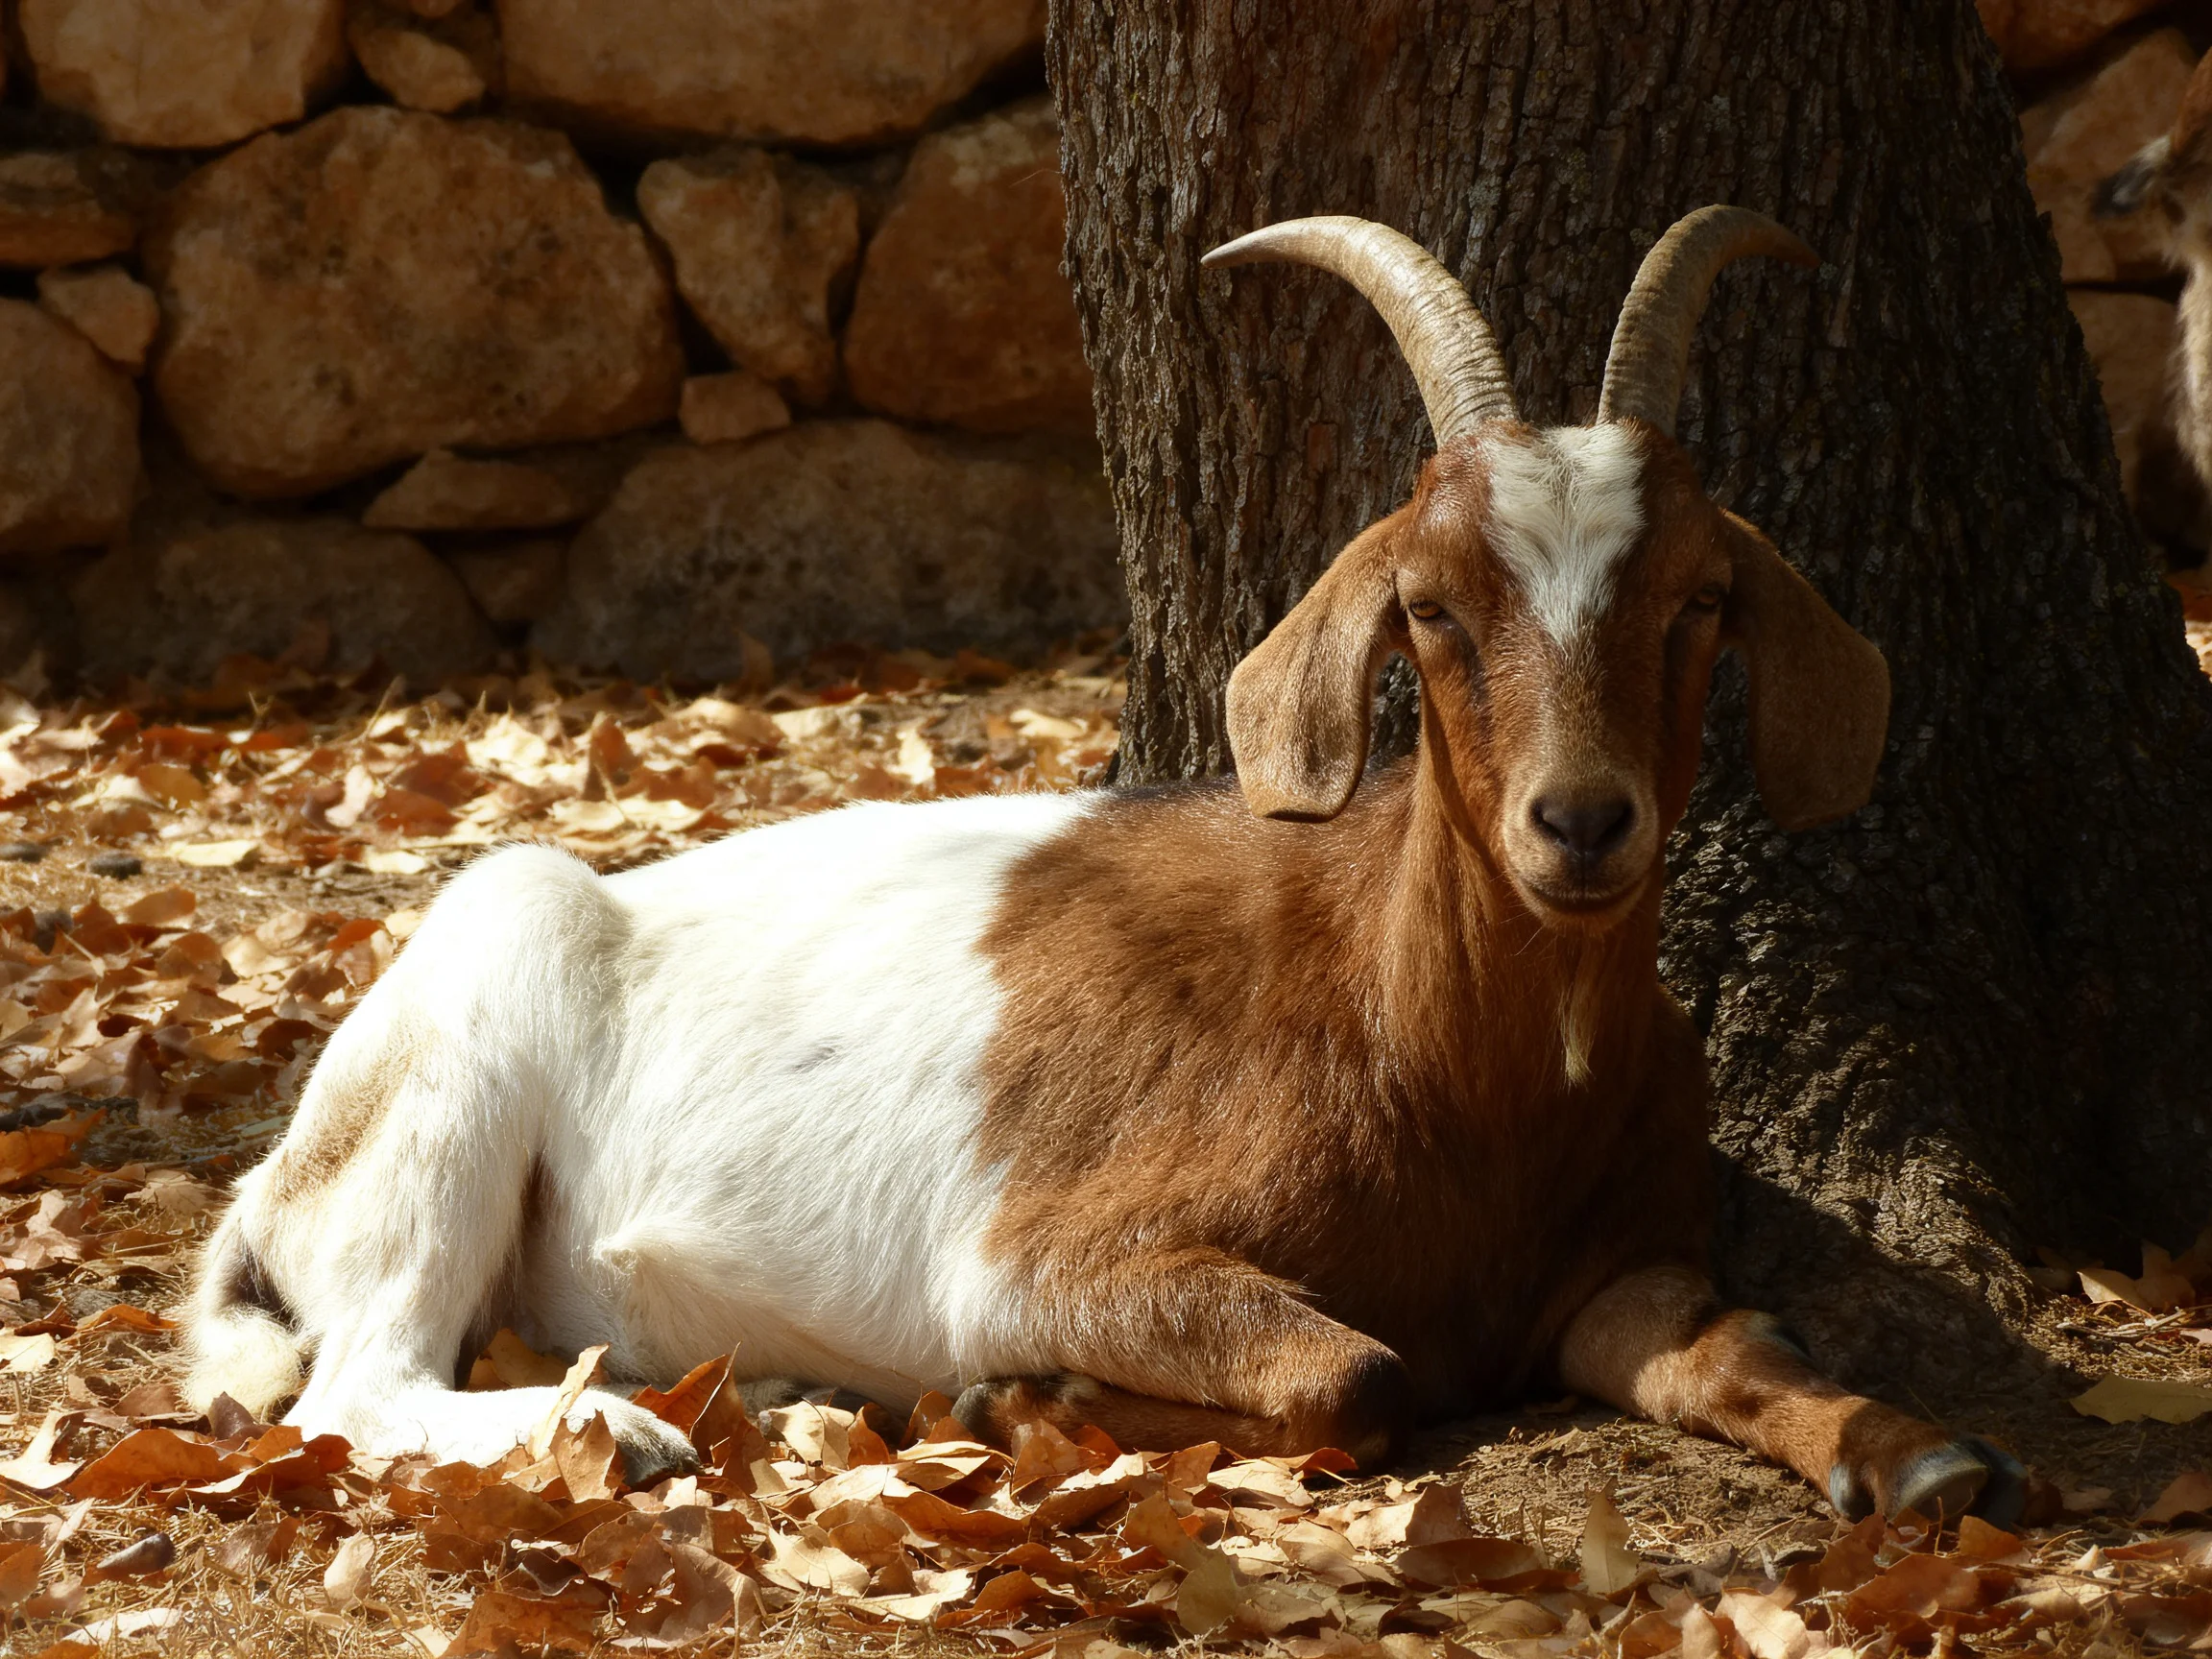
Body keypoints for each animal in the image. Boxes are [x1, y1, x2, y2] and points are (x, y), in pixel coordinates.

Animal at [186, 206, 2022, 1524]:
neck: (1442, 1059)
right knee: (357, 1382)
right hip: (465, 1030)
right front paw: (1023, 1400)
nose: (1580, 823)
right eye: (1430, 604)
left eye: (1701, 598)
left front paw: (1918, 1454)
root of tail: (272, 1186)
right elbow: (1354, 1376)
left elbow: (1739, 1341)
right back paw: (633, 1440)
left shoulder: (1617, 1271)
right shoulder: (1043, 1255)